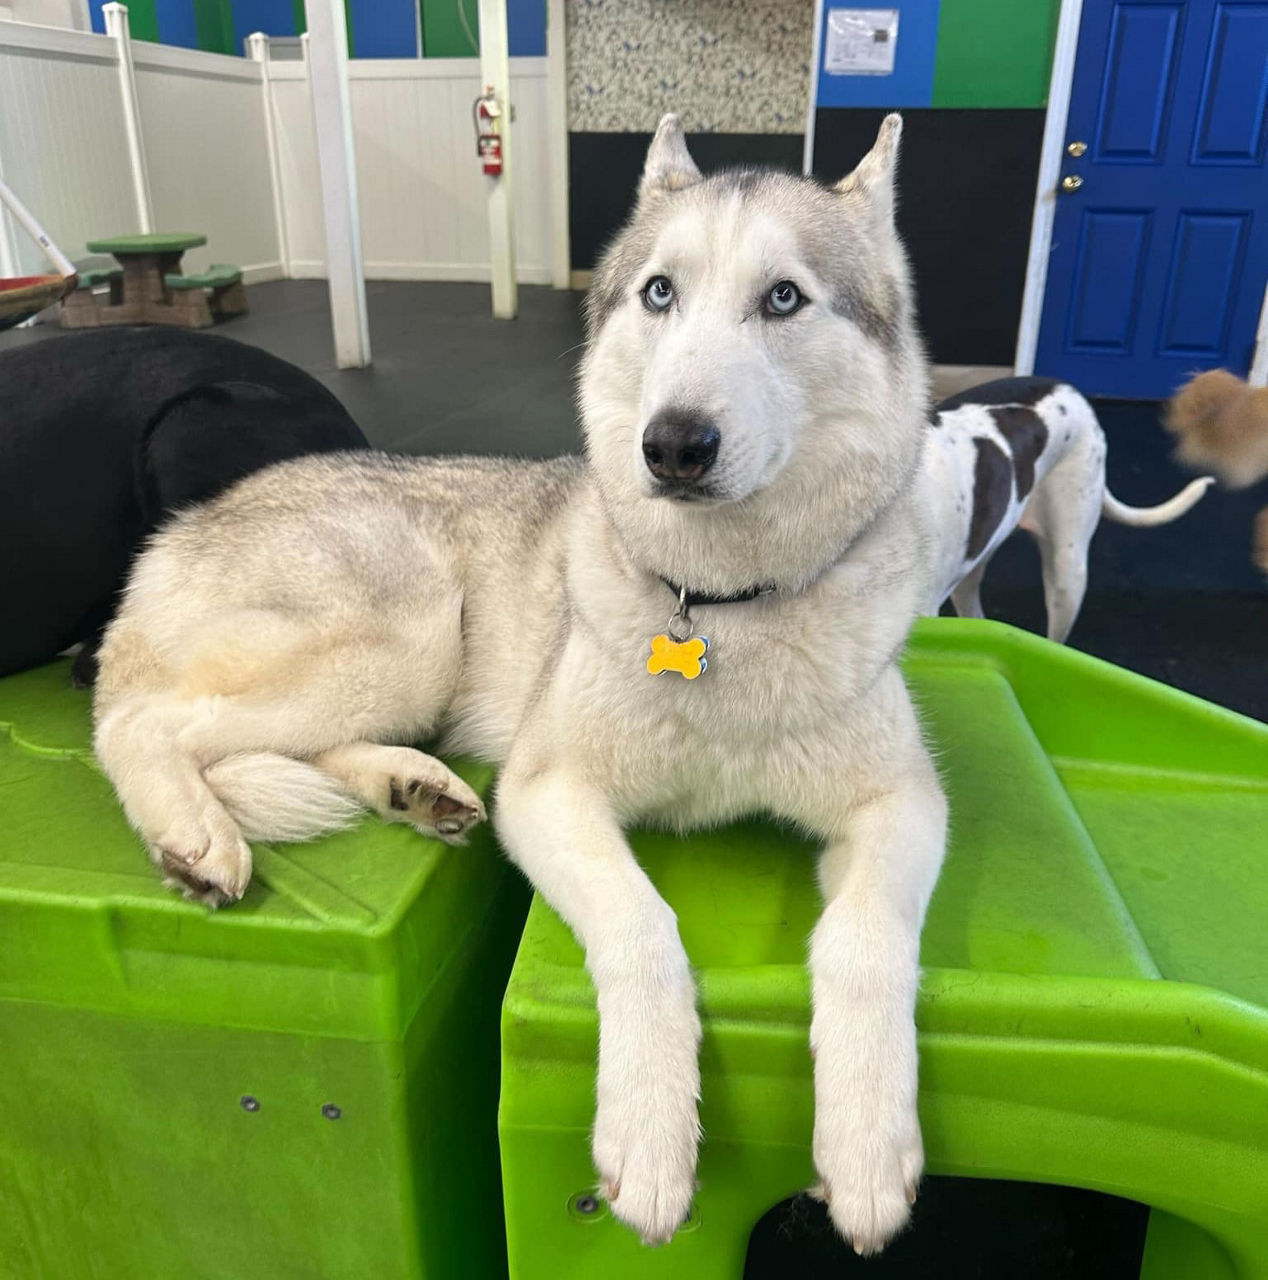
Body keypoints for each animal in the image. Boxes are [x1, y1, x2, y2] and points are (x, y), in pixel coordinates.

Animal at [96, 115, 941, 1254]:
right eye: (660, 292)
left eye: (783, 298)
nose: (673, 444)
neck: (719, 608)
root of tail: (186, 523)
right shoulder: (550, 792)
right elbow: (643, 929)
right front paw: (649, 1138)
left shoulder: (903, 804)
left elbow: (866, 943)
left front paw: (866, 1151)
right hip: (405, 626)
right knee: (140, 723)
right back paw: (195, 834)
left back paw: (413, 787)